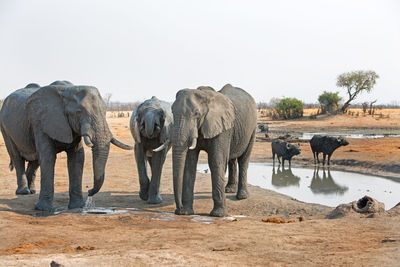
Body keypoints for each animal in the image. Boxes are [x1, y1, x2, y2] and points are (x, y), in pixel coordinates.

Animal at [0, 80, 133, 210]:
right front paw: (43, 209)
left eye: (105, 111)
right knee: (17, 157)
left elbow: (78, 157)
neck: (67, 90)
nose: (89, 191)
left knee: (35, 160)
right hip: (5, 128)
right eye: (78, 112)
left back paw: (32, 191)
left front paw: (77, 207)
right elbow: (48, 157)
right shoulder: (40, 122)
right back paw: (23, 192)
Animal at [171, 84, 256, 218]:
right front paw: (186, 212)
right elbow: (189, 164)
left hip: (252, 128)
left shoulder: (222, 128)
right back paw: (229, 190)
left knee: (243, 160)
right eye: (172, 111)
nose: (178, 209)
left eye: (196, 113)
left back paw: (242, 196)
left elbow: (216, 162)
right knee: (231, 159)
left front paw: (218, 215)